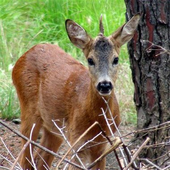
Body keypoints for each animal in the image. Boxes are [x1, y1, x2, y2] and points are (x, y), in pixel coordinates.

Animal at [11, 14, 139, 170]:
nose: (104, 85)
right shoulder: (77, 142)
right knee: (25, 158)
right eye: (90, 60)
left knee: (40, 159)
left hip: (54, 127)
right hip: (28, 109)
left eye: (116, 59)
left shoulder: (105, 145)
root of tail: (24, 55)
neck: (97, 121)